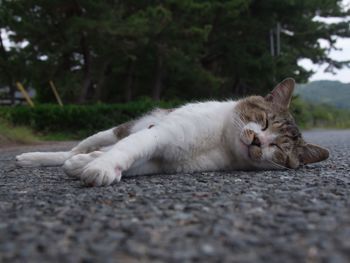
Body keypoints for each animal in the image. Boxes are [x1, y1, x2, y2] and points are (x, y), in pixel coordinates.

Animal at [15, 77, 328, 187]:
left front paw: (90, 166)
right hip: (112, 130)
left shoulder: (164, 162)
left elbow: (135, 161)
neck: (220, 142)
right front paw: (100, 167)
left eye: (279, 148)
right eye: (263, 121)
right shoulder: (161, 134)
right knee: (76, 148)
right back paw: (32, 158)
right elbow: (127, 148)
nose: (258, 141)